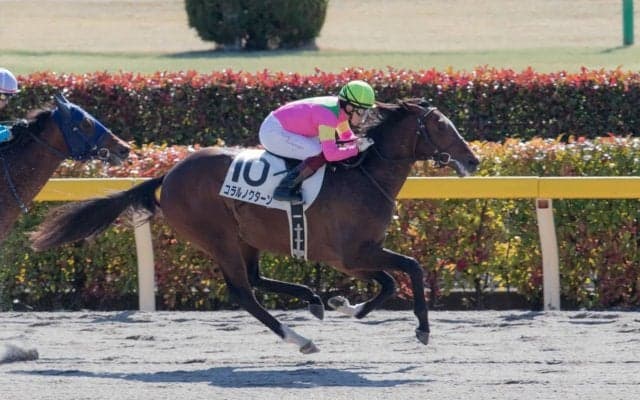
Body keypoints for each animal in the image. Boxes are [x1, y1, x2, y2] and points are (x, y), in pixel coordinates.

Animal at [30, 98, 479, 354]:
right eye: (441, 126)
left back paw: (313, 300)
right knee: (243, 292)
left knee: (256, 278)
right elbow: (407, 271)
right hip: (217, 238)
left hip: (245, 236)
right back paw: (300, 339)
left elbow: (390, 281)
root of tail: (168, 175)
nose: (473, 159)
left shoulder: (357, 256)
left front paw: (342, 304)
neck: (364, 176)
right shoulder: (352, 255)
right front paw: (420, 329)